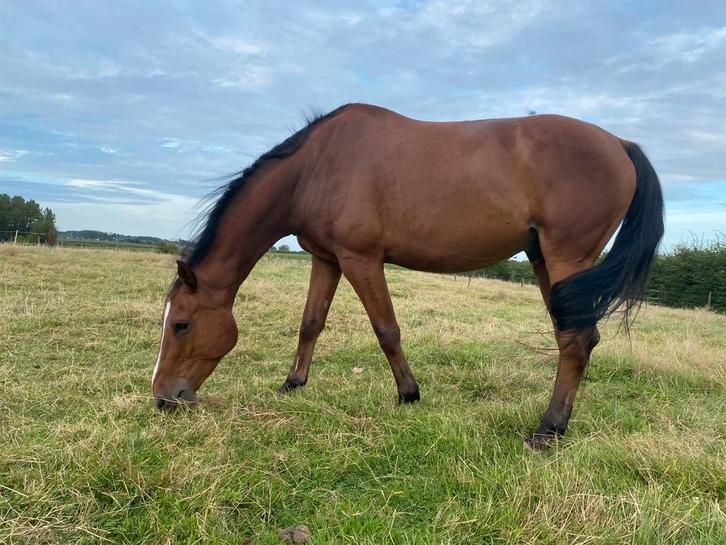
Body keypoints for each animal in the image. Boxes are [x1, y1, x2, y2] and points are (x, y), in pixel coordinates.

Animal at [151, 103, 663, 450]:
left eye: (181, 324)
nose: (163, 399)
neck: (318, 165)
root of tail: (620, 144)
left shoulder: (360, 259)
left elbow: (386, 329)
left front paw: (408, 394)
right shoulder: (327, 259)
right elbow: (311, 323)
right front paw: (293, 384)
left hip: (566, 259)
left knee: (575, 341)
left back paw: (547, 430)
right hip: (547, 264)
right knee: (578, 338)